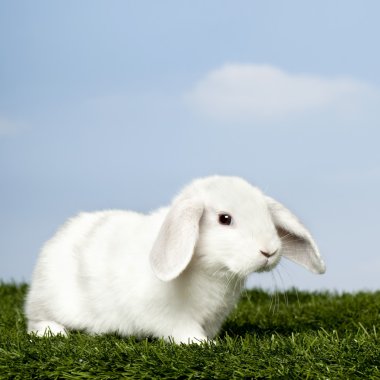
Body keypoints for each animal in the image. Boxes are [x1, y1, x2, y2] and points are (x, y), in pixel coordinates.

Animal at [25, 177, 326, 342]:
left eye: (267, 216)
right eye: (224, 219)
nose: (269, 251)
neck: (210, 271)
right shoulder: (171, 316)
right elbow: (184, 331)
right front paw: (202, 344)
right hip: (51, 301)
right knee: (35, 321)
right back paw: (55, 332)